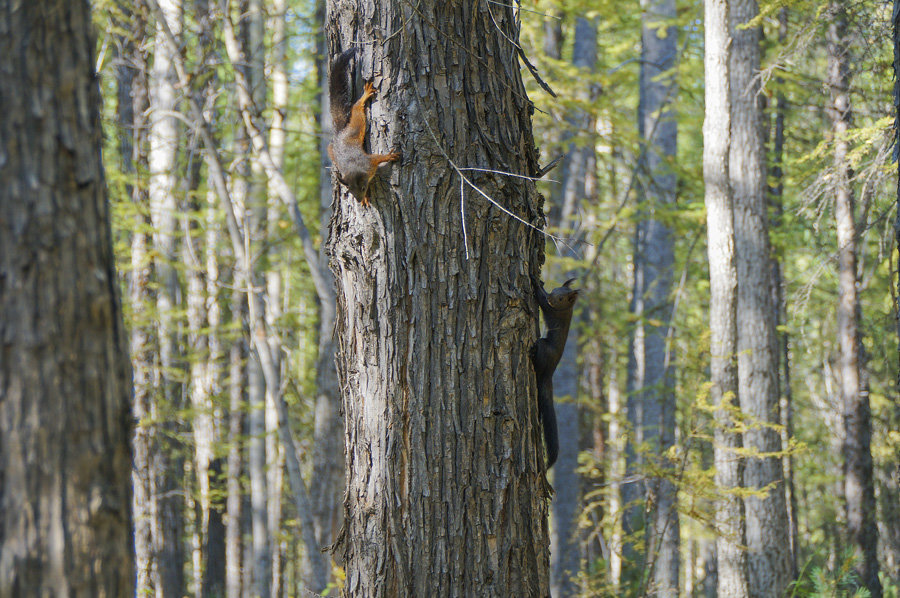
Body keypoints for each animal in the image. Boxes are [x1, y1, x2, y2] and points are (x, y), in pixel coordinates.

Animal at [328, 47, 400, 207]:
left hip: (355, 126)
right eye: (349, 190)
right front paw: (367, 198)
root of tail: (340, 132)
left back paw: (364, 97)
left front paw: (389, 156)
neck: (354, 169)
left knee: (356, 109)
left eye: (362, 187)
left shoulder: (369, 162)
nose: (359, 199)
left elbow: (378, 158)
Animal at [532, 276, 580, 468]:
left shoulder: (552, 310)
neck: (567, 309)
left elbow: (541, 300)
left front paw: (535, 283)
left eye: (561, 298)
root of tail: (550, 372)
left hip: (544, 349)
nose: (551, 298)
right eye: (554, 290)